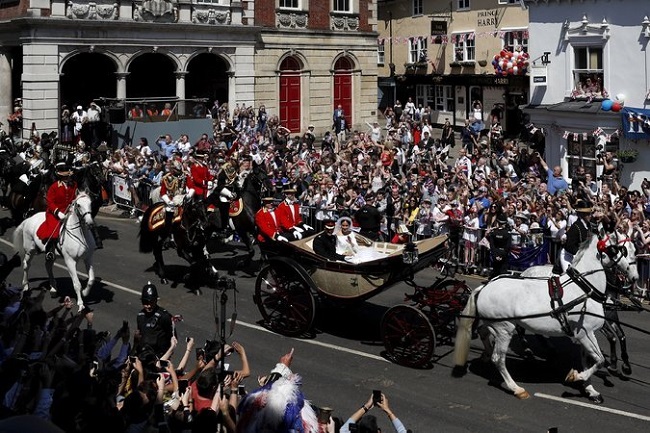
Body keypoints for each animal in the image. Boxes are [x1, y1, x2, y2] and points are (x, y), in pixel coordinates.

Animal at [454, 235, 636, 404]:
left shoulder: (584, 334)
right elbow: (599, 361)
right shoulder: (585, 333)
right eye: (615, 249)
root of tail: (484, 287)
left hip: (494, 324)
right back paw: (516, 387)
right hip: (505, 328)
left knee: (482, 332)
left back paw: (487, 354)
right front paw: (576, 377)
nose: (632, 274)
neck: (584, 289)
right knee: (498, 358)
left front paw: (590, 390)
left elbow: (589, 361)